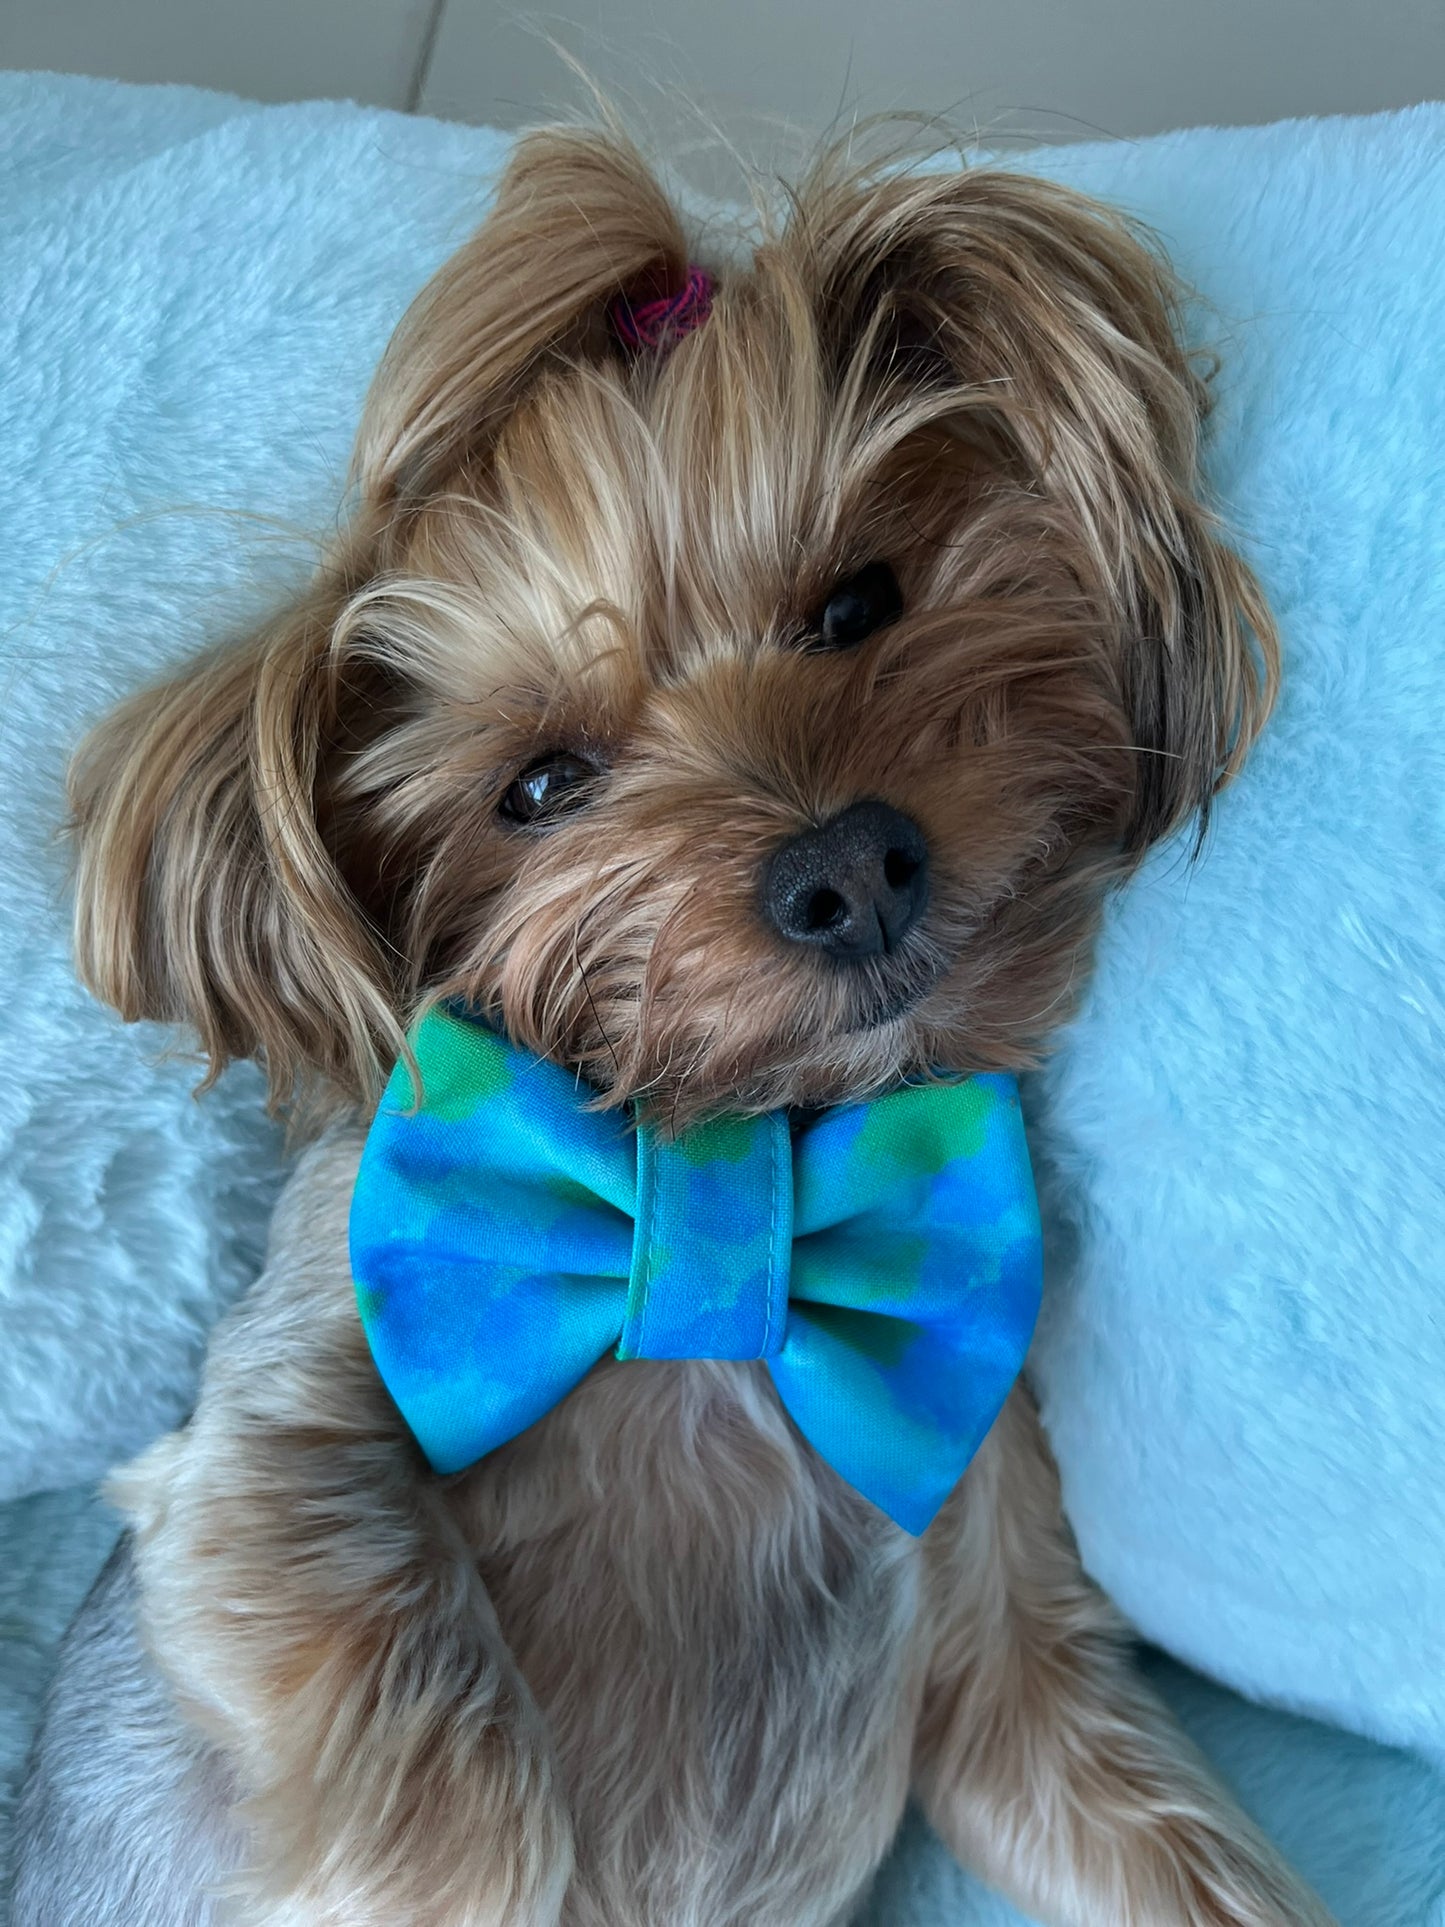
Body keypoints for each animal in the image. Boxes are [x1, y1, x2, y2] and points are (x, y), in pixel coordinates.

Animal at [11, 128, 1333, 1919]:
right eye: (541, 786)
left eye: (855, 603)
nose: (846, 868)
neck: (734, 1144)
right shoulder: (275, 1442)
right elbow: (449, 1770)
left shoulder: (986, 1546)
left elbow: (1137, 1817)